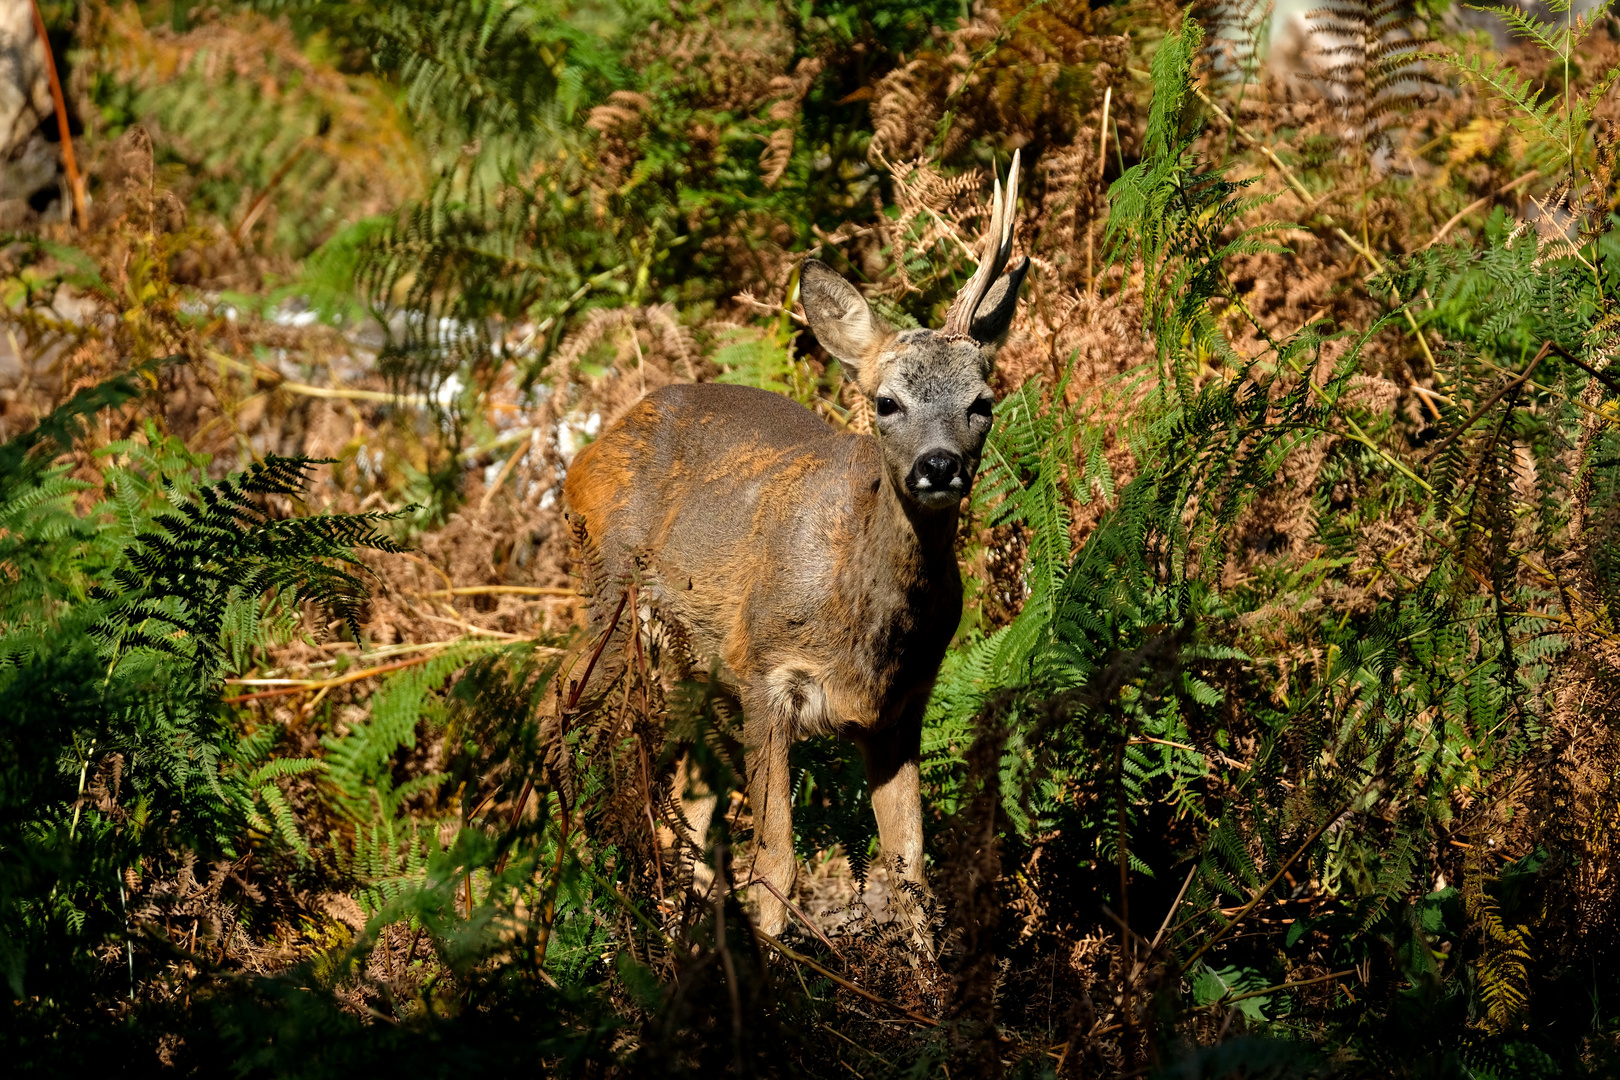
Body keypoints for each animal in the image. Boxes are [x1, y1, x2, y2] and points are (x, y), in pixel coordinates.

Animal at [563, 149, 1030, 939]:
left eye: (982, 403)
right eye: (886, 403)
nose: (938, 466)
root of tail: (592, 448)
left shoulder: (901, 707)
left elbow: (909, 865)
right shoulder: (761, 672)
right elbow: (776, 864)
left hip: (686, 665)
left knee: (689, 801)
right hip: (612, 602)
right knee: (560, 700)